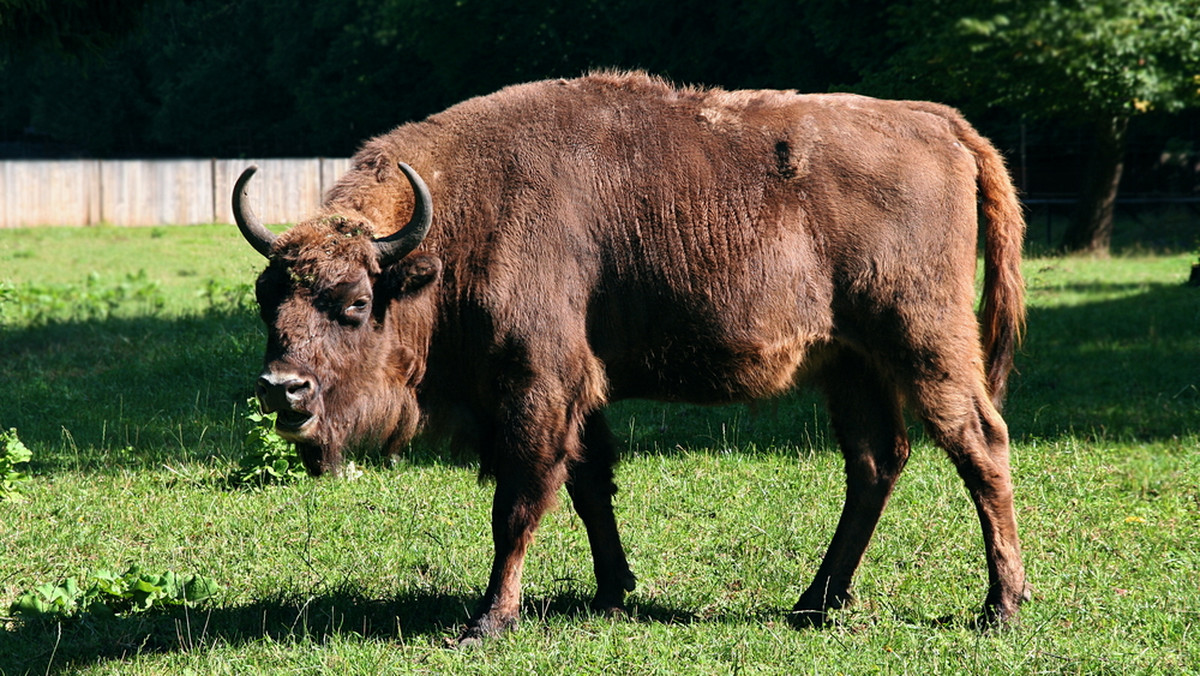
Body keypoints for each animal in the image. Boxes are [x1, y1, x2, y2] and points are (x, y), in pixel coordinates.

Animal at [234, 70, 1032, 643]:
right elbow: (591, 486)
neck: (450, 235)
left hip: (924, 340)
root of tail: (937, 122)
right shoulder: (579, 395)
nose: (282, 388)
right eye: (267, 299)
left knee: (979, 444)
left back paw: (1000, 607)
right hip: (851, 365)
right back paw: (815, 603)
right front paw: (614, 589)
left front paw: (489, 620)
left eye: (354, 304)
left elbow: (518, 502)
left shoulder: (536, 387)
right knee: (875, 464)